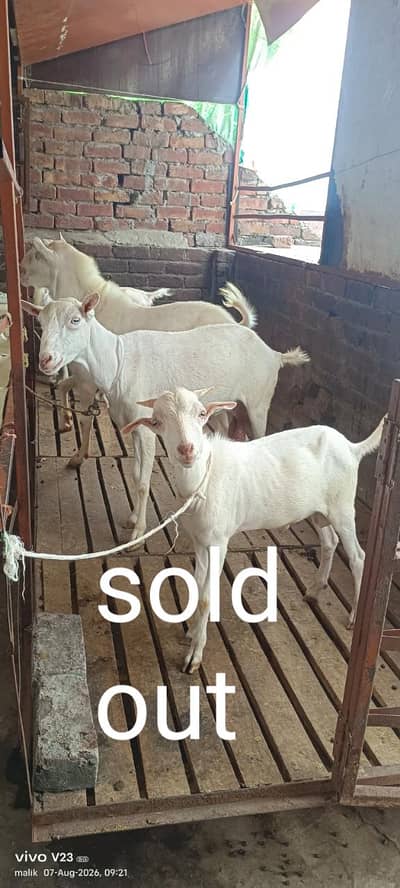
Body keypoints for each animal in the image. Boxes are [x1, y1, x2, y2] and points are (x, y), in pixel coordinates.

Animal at [21, 295, 309, 545]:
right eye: (41, 323)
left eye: (75, 320)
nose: (45, 360)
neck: (118, 361)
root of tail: (275, 354)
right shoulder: (135, 424)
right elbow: (136, 474)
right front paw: (133, 518)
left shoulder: (146, 426)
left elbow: (143, 481)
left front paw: (138, 533)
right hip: (228, 407)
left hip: (259, 401)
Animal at [123, 387, 383, 672]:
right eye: (157, 422)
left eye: (202, 414)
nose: (187, 450)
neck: (203, 479)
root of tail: (351, 447)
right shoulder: (200, 541)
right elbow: (198, 587)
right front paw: (192, 631)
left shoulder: (218, 540)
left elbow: (206, 598)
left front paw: (194, 656)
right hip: (317, 510)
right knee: (330, 541)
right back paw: (314, 590)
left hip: (343, 507)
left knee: (358, 558)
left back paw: (354, 615)